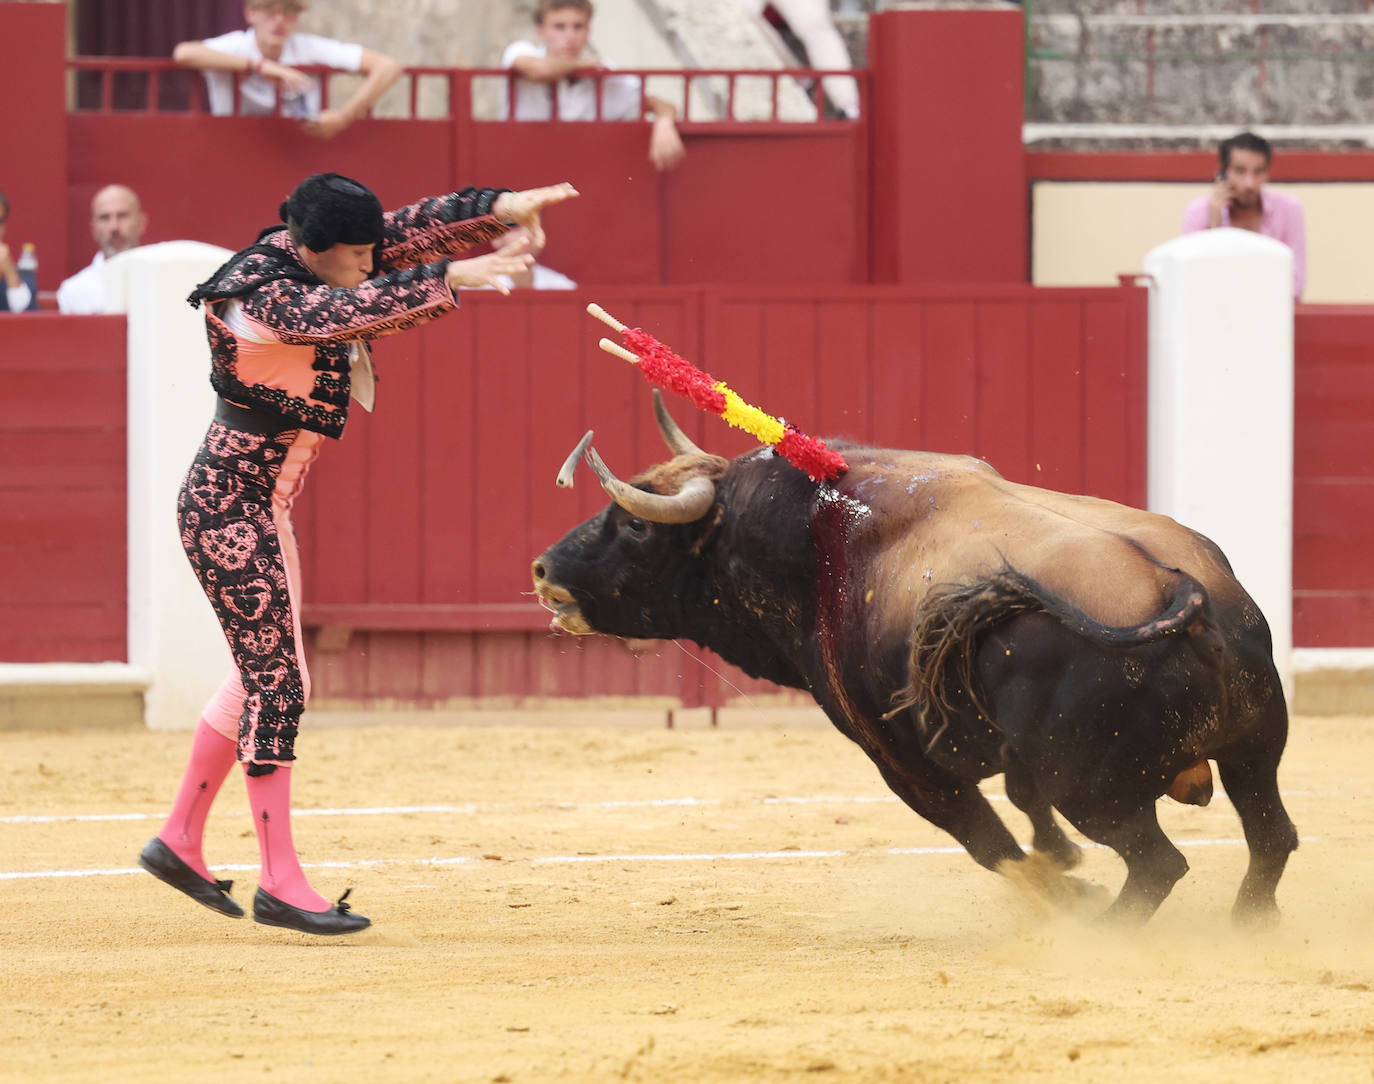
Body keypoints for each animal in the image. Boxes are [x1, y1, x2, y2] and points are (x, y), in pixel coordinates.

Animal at [527, 390, 1297, 923]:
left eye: (632, 526)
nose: (542, 568)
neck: (808, 543)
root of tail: (1183, 587)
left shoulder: (898, 758)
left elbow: (988, 840)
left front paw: (1066, 889)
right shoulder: (1003, 749)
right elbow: (1022, 803)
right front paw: (1064, 863)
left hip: (1096, 788)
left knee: (1159, 863)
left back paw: (1106, 929)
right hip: (1254, 751)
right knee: (1271, 837)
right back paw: (1248, 924)